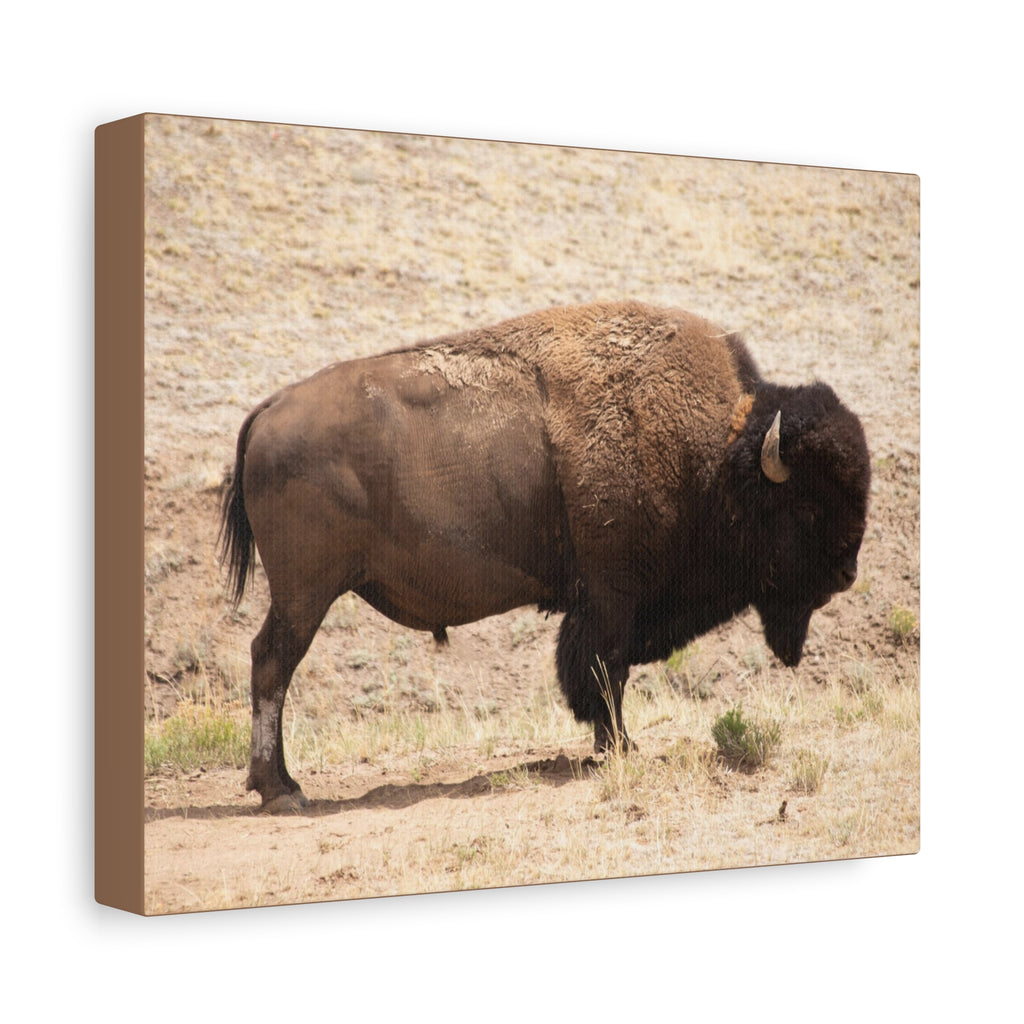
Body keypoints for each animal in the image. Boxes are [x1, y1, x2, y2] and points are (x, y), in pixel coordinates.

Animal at [220, 302, 870, 812]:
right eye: (808, 506)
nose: (846, 573)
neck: (718, 457)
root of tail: (270, 409)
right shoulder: (611, 597)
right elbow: (605, 672)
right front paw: (620, 748)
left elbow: (602, 674)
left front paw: (613, 746)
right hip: (305, 593)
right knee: (272, 663)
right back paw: (281, 791)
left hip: (302, 594)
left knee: (270, 663)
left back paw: (280, 784)